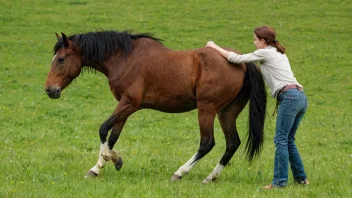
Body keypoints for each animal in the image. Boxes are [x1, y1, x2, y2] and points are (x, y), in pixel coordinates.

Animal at [44, 30, 266, 183]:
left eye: (61, 59)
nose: (49, 90)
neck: (125, 58)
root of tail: (242, 62)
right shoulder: (125, 105)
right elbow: (113, 136)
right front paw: (98, 167)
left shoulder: (129, 103)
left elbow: (103, 129)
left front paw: (112, 159)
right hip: (226, 112)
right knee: (232, 143)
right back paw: (210, 177)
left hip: (207, 109)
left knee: (207, 143)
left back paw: (180, 172)